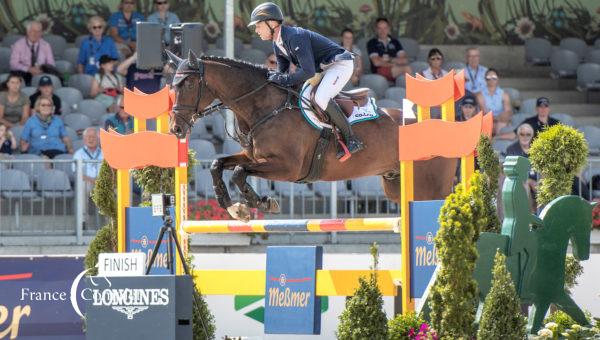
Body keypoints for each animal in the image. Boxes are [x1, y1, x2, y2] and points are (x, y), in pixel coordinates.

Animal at [164, 49, 454, 220]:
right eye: (172, 85)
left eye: (187, 84)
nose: (176, 128)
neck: (265, 106)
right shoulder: (254, 157)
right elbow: (218, 164)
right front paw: (236, 208)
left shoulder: (288, 167)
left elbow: (238, 173)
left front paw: (261, 203)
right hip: (396, 185)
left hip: (431, 189)